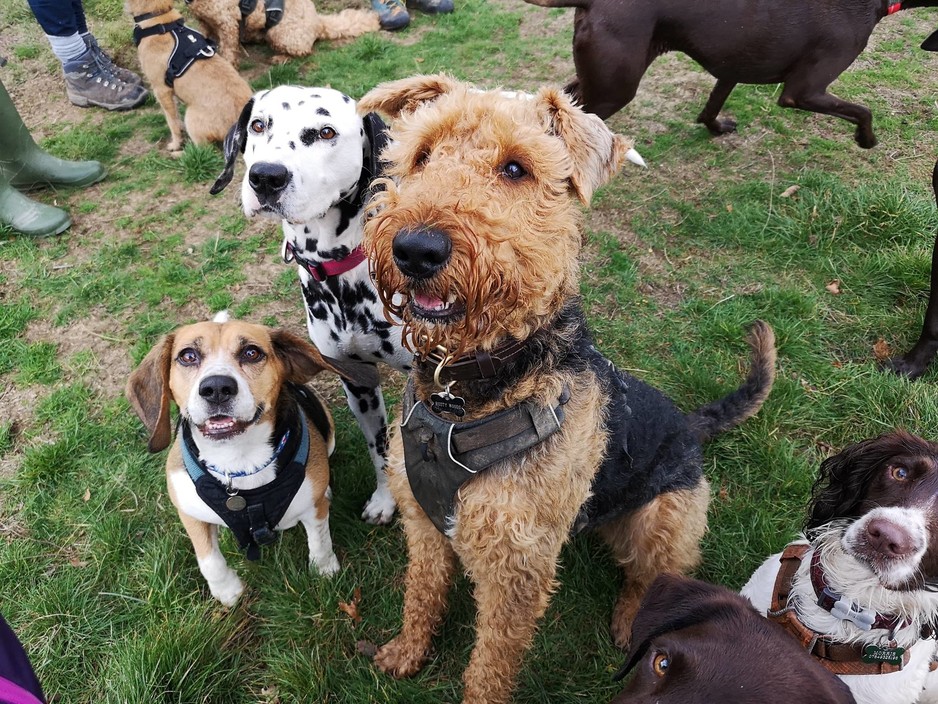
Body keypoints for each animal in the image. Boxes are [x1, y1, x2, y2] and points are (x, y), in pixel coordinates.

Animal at [126, 314, 378, 604]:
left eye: (251, 353)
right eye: (188, 356)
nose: (216, 388)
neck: (238, 460)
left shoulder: (313, 511)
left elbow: (320, 541)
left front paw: (324, 570)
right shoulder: (189, 513)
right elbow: (209, 561)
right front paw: (227, 591)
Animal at [212, 85, 410, 524]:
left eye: (324, 132)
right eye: (258, 125)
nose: (266, 176)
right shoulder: (358, 382)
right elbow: (380, 449)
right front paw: (385, 499)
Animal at [358, 73, 776, 704]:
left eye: (515, 169)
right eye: (423, 154)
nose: (415, 249)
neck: (465, 390)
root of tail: (690, 423)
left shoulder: (515, 565)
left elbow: (491, 659)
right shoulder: (424, 523)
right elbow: (422, 594)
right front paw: (405, 653)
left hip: (660, 519)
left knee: (655, 574)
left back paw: (630, 622)